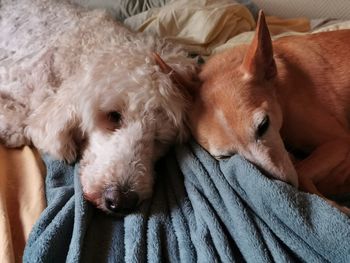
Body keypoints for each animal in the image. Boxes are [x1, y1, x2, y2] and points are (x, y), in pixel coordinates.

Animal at [189, 11, 350, 216]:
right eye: (225, 157)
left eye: (263, 125)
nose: (283, 188)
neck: (278, 88)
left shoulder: (339, 140)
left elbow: (301, 172)